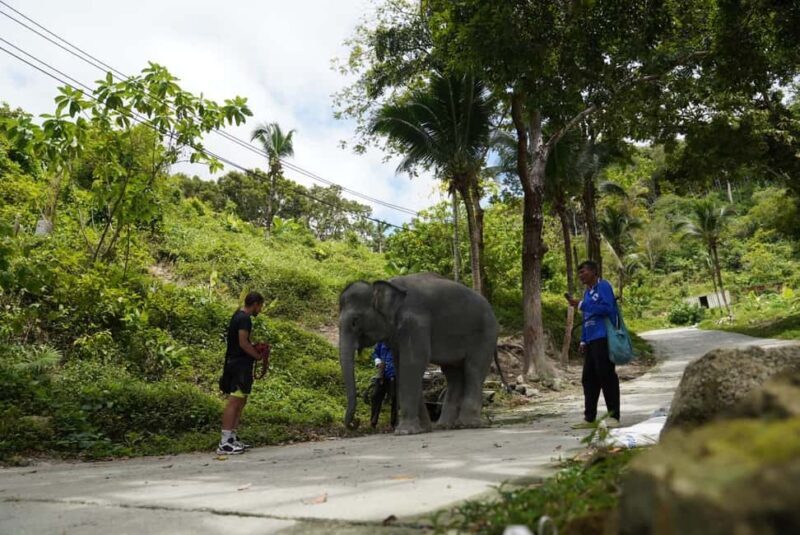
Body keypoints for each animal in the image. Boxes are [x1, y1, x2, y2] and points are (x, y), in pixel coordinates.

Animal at [338, 273, 498, 435]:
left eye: (355, 321)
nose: (356, 422)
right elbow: (400, 366)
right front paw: (423, 429)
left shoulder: (415, 323)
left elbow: (413, 362)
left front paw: (405, 431)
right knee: (453, 374)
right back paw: (445, 426)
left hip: (485, 334)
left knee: (474, 369)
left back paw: (468, 424)